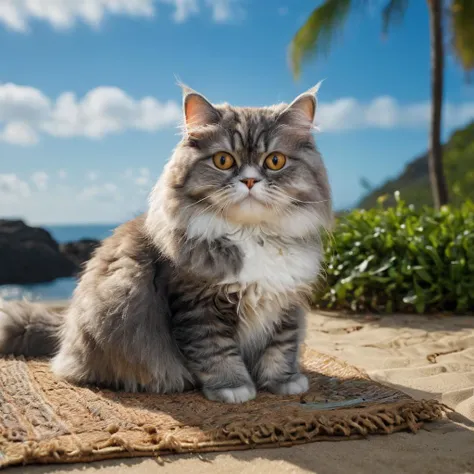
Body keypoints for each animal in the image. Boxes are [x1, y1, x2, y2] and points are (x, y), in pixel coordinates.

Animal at [0, 83, 334, 402]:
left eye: (275, 161)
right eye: (223, 160)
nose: (250, 181)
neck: (253, 235)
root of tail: (64, 329)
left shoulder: (286, 304)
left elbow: (281, 348)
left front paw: (284, 382)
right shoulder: (197, 305)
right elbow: (217, 352)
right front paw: (233, 388)